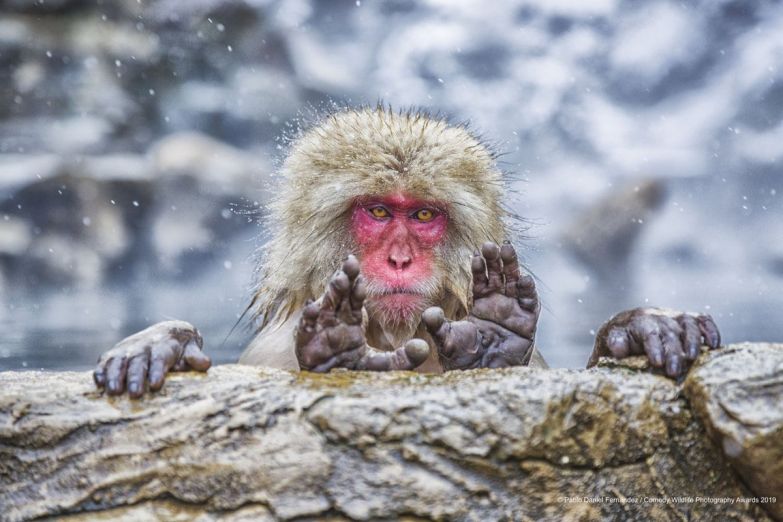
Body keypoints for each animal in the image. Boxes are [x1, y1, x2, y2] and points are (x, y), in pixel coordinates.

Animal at [92, 107, 724, 396]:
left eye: (422, 215)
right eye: (377, 212)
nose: (399, 260)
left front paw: (641, 325)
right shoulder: (268, 355)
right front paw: (162, 345)